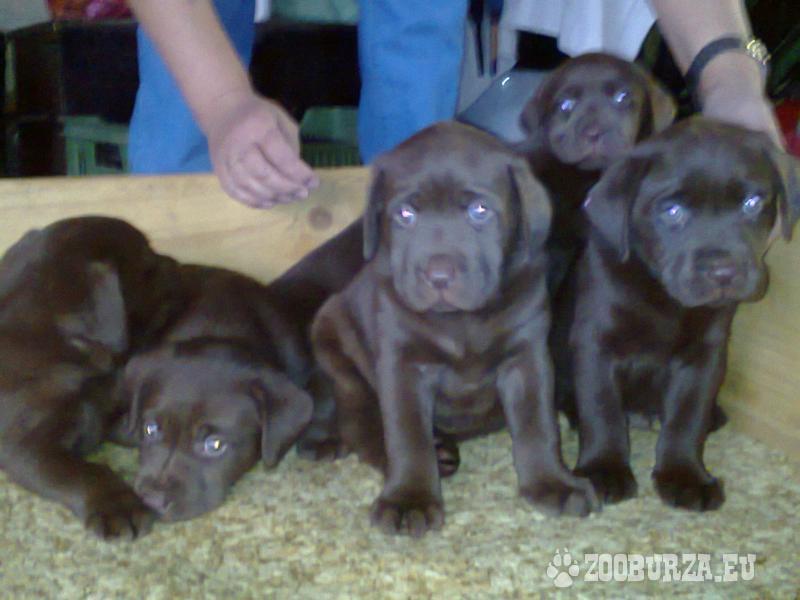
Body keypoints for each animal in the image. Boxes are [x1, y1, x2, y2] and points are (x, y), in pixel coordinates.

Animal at [312, 121, 599, 537]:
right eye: (405, 214)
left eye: (480, 211)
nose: (439, 276)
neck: (461, 321)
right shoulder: (403, 363)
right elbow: (406, 434)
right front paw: (409, 498)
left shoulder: (527, 356)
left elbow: (538, 425)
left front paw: (551, 483)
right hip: (333, 337)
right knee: (360, 423)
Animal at [563, 118, 799, 511]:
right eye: (671, 211)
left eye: (752, 203)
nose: (723, 272)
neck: (665, 297)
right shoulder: (595, 344)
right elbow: (601, 408)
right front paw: (603, 470)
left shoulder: (704, 355)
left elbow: (687, 416)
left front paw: (685, 476)